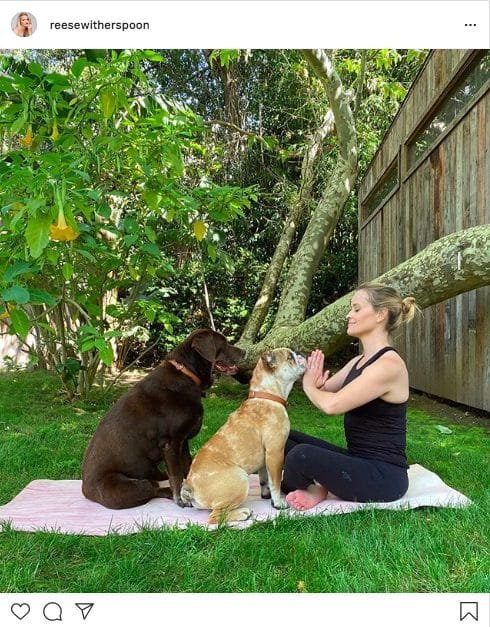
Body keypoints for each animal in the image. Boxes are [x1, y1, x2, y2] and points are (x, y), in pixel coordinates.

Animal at [81, 328, 244, 510]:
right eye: (223, 343)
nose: (244, 352)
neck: (186, 375)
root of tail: (86, 491)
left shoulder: (183, 441)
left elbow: (187, 468)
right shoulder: (170, 443)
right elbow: (176, 475)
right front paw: (180, 499)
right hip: (132, 486)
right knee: (153, 488)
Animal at [180, 348, 304, 524]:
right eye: (289, 357)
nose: (300, 353)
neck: (266, 394)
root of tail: (189, 486)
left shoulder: (265, 458)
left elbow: (265, 479)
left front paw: (267, 496)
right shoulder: (275, 452)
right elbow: (275, 481)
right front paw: (279, 502)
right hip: (241, 478)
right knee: (215, 517)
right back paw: (243, 514)